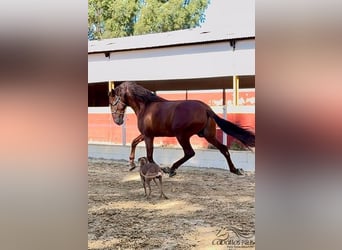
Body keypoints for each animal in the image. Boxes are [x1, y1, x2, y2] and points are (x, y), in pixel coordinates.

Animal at [109, 81, 254, 177]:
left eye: (111, 102)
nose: (117, 121)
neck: (146, 106)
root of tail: (206, 109)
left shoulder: (149, 136)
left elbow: (149, 155)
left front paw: (158, 170)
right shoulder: (146, 134)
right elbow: (134, 142)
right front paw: (131, 164)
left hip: (182, 136)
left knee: (190, 153)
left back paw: (171, 169)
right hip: (208, 136)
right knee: (223, 149)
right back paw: (235, 170)